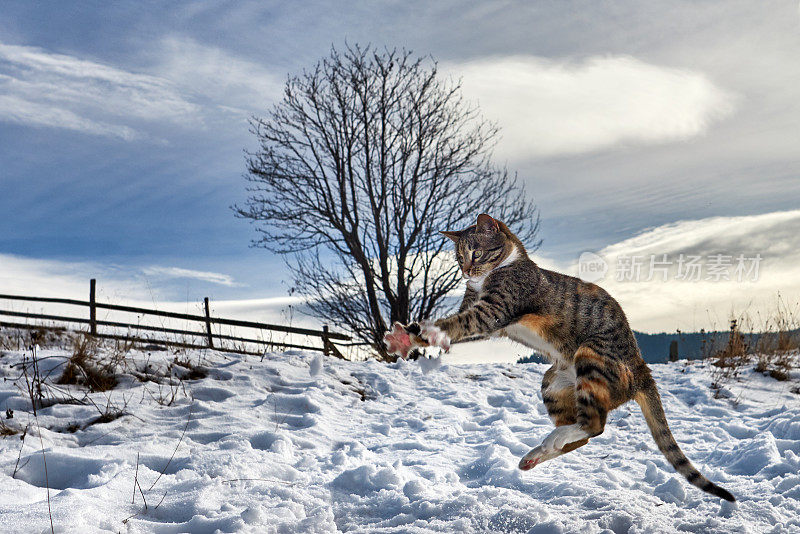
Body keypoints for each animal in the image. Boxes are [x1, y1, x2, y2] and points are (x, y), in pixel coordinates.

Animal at [384, 213, 736, 502]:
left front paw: (433, 331)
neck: (501, 268)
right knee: (583, 432)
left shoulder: (498, 308)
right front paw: (405, 338)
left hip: (592, 356)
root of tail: (641, 369)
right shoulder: (481, 311)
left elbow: (461, 323)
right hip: (554, 382)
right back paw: (537, 453)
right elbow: (459, 325)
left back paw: (554, 439)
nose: (466, 271)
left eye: (476, 253)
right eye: (458, 258)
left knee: (595, 425)